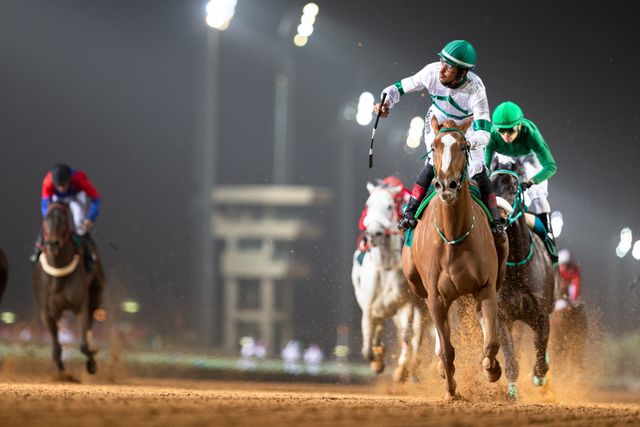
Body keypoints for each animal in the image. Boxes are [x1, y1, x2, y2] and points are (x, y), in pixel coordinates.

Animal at [33, 202, 104, 380]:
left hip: (96, 292)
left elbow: (84, 345)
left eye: (64, 222)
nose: (52, 244)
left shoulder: (80, 306)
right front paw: (62, 374)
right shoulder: (47, 311)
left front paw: (92, 363)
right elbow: (56, 348)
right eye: (45, 220)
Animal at [352, 182, 428, 382]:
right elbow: (367, 341)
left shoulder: (406, 302)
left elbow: (407, 334)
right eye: (368, 204)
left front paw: (402, 369)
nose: (373, 233)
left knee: (417, 334)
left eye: (389, 206)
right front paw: (376, 359)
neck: (385, 265)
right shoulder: (369, 303)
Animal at [402, 118, 508, 402]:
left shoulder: (486, 287)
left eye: (463, 146)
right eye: (434, 146)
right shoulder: (435, 298)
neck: (453, 237)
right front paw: (451, 390)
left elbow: (492, 341)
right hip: (417, 284)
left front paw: (491, 369)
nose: (446, 185)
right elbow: (447, 349)